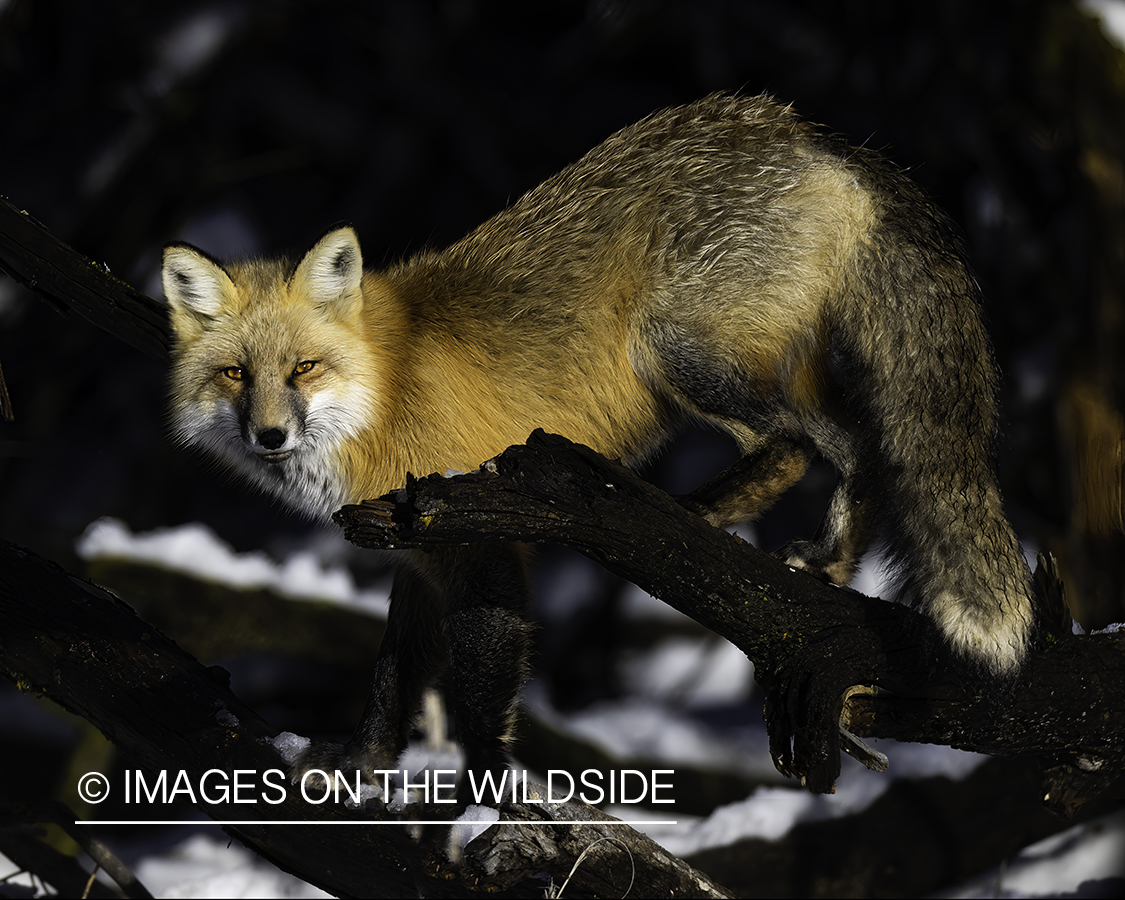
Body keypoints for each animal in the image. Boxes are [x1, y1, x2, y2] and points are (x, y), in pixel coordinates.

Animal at [163, 95, 1030, 792]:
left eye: (304, 369)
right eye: (236, 375)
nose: (269, 435)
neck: (385, 387)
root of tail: (806, 132)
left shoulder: (477, 543)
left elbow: (479, 698)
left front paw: (487, 798)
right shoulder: (416, 557)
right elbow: (389, 680)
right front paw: (360, 765)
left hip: (672, 347)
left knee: (806, 443)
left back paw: (697, 516)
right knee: (852, 448)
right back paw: (824, 559)